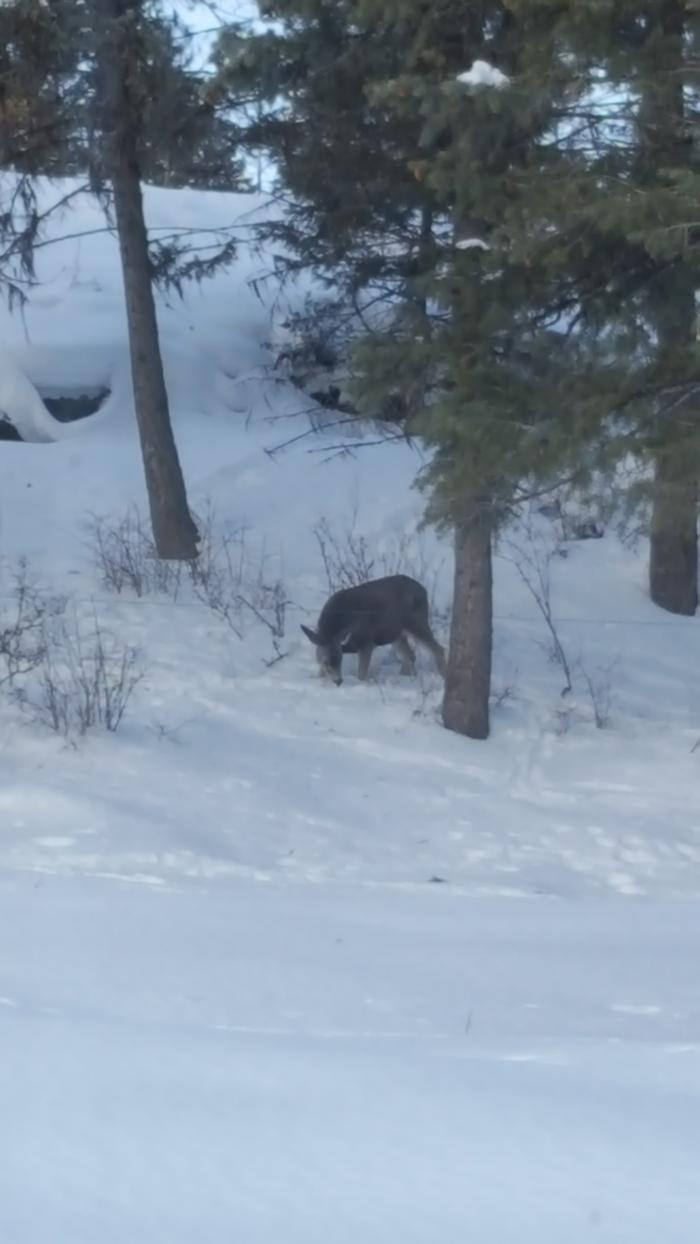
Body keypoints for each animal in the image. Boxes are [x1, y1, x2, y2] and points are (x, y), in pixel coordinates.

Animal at [299, 574, 442, 686]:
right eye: (326, 661)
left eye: (340, 659)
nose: (338, 681)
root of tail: (424, 590)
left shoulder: (366, 641)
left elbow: (361, 674)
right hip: (395, 633)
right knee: (410, 656)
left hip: (417, 623)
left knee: (438, 649)